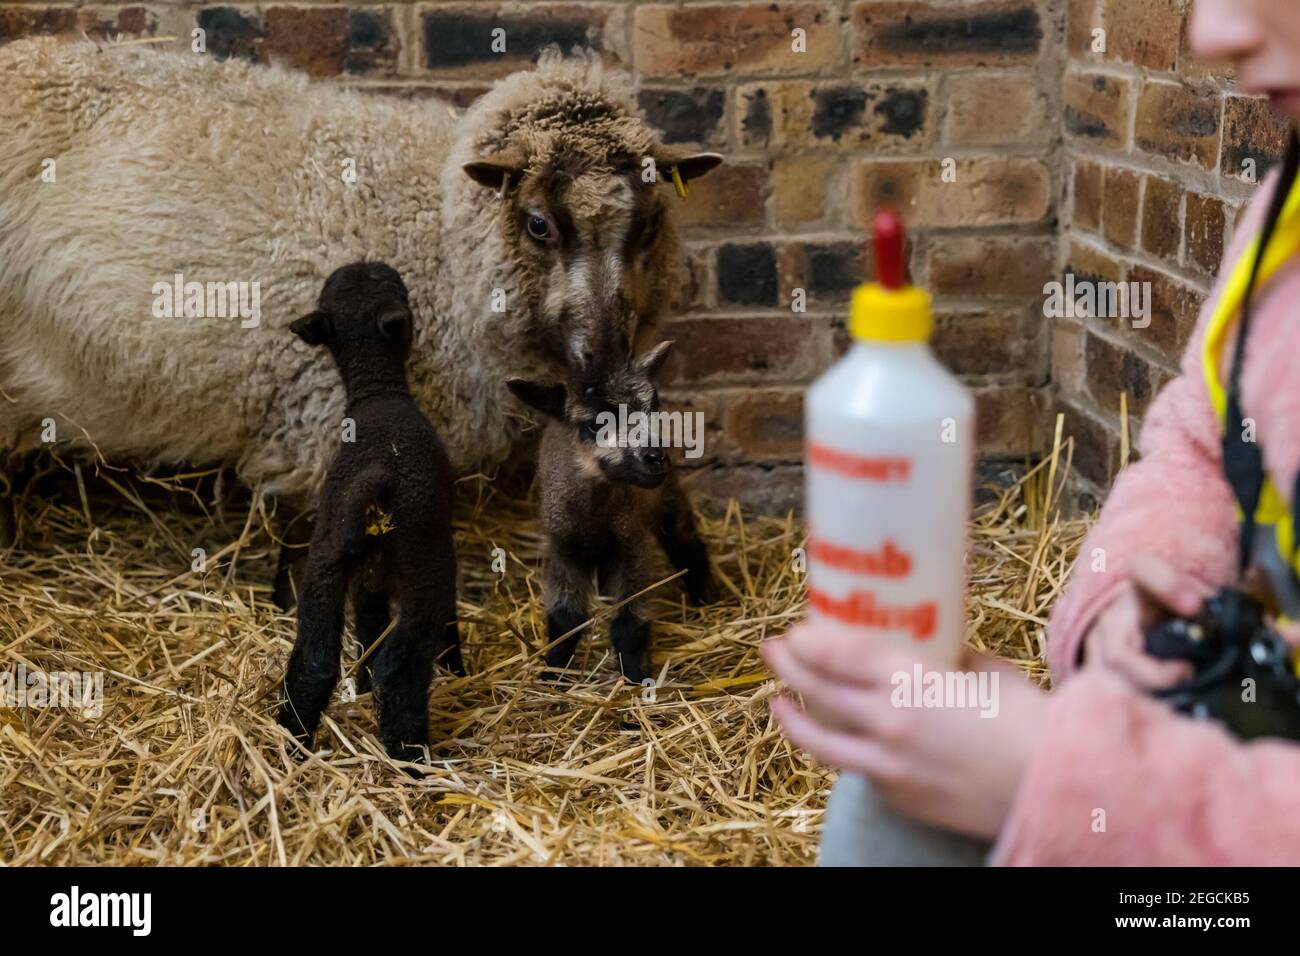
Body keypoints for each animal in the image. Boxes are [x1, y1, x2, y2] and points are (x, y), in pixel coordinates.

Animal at [277, 261, 460, 762]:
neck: (376, 390)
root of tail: (375, 476)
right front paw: (458, 667)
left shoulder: (367, 574)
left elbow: (369, 620)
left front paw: (359, 685)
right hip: (424, 564)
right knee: (400, 668)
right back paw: (411, 758)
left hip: (325, 561)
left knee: (314, 659)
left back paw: (291, 740)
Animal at [506, 335, 716, 684]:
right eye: (594, 424)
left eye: (652, 407)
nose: (656, 457)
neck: (593, 516)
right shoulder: (562, 548)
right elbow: (565, 617)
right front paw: (553, 671)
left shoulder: (634, 544)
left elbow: (629, 622)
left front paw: (634, 675)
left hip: (667, 497)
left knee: (686, 543)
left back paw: (706, 598)